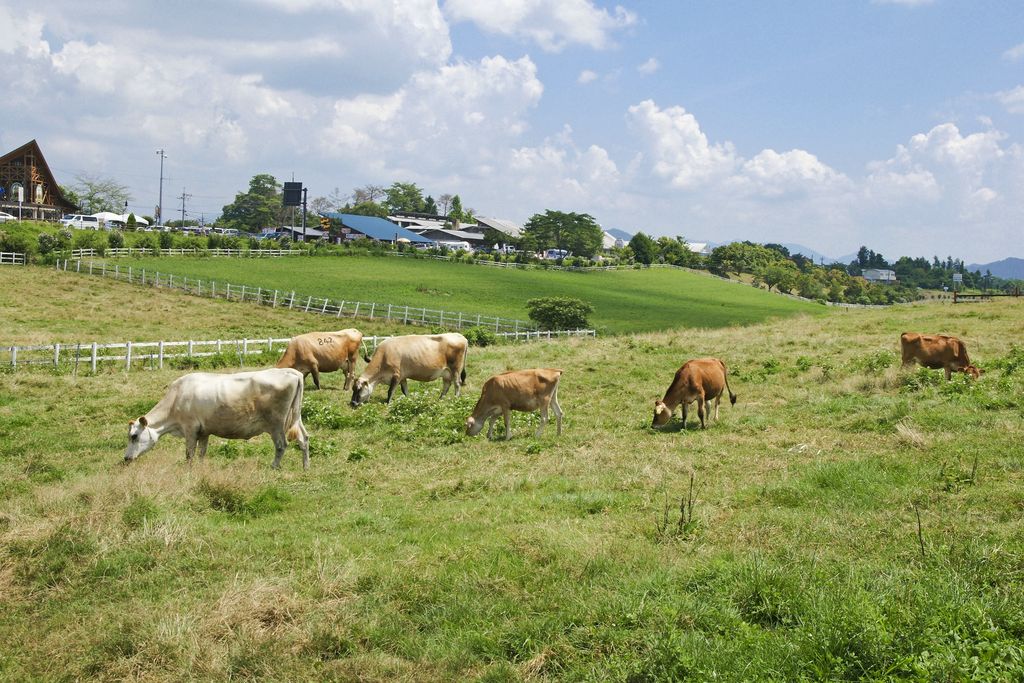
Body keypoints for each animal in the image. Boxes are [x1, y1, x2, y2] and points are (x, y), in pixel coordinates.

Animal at [125, 368, 307, 471]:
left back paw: (273, 467)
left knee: (281, 445)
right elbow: (202, 452)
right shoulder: (204, 431)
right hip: (295, 418)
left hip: (276, 423)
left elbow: (189, 453)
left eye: (134, 436)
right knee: (303, 439)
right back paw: (306, 467)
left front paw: (188, 471)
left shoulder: (190, 428)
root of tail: (291, 372)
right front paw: (199, 468)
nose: (126, 458)